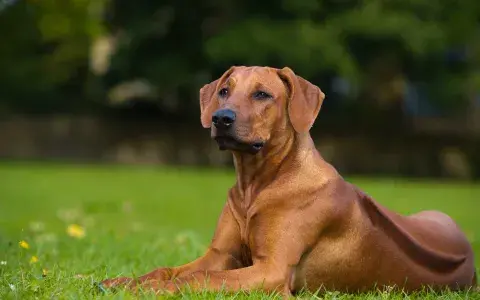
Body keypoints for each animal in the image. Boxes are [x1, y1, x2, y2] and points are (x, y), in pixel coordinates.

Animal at [101, 65, 476, 296]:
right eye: (224, 91)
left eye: (262, 95)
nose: (221, 118)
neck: (256, 185)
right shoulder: (220, 253)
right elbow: (170, 269)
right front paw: (126, 280)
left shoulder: (272, 270)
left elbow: (202, 277)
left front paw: (149, 290)